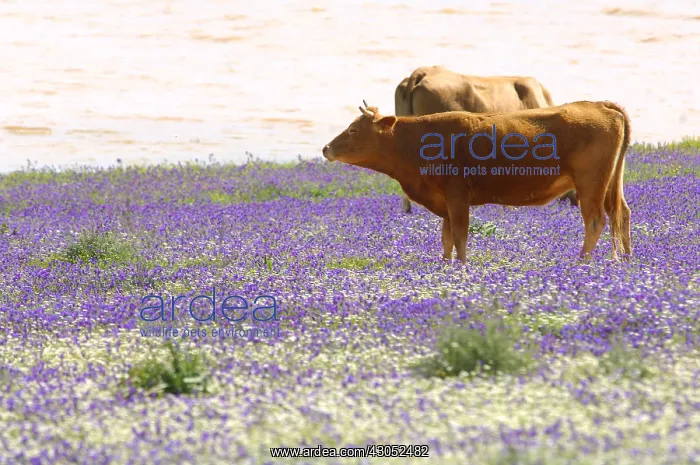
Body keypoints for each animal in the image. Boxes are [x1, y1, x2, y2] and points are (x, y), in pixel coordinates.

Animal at [322, 101, 632, 263]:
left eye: (353, 129)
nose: (326, 148)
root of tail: (598, 104)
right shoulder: (445, 203)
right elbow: (446, 238)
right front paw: (445, 267)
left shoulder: (457, 196)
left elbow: (460, 236)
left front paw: (461, 268)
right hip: (609, 183)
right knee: (623, 214)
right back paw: (627, 260)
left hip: (590, 184)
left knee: (596, 221)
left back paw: (582, 262)